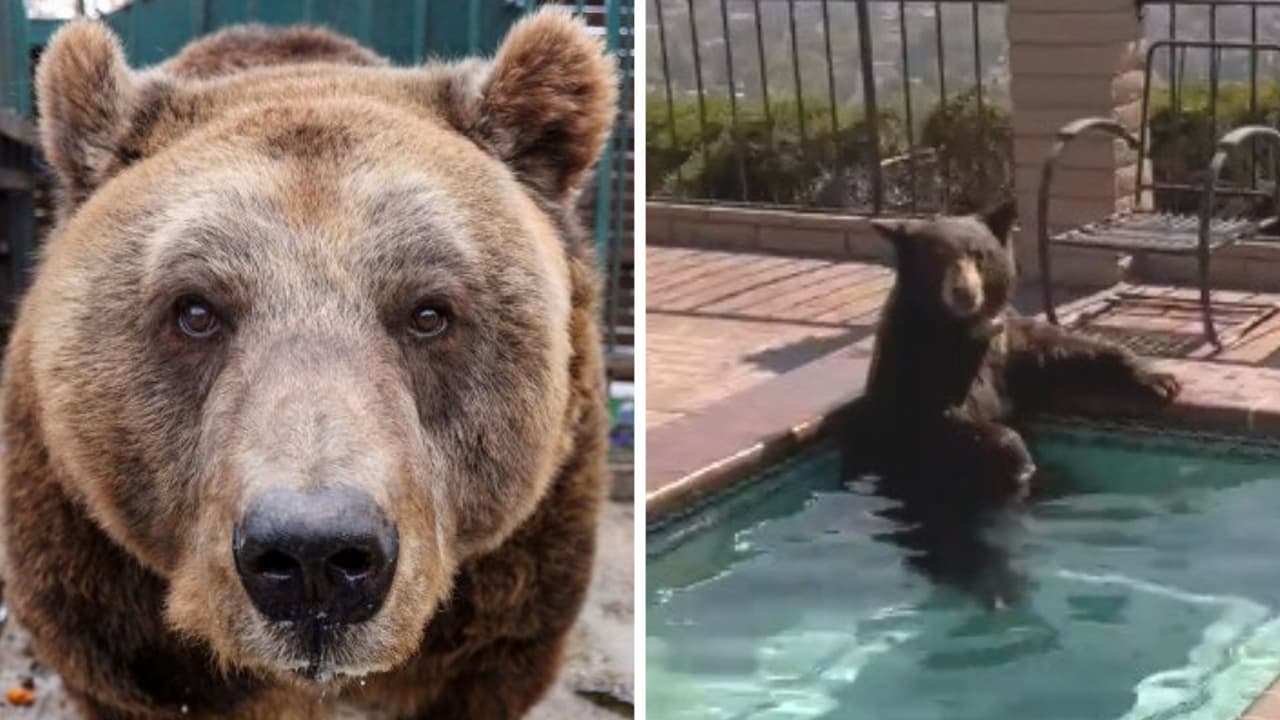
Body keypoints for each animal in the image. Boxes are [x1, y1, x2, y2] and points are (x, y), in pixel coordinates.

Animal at [841, 201, 1180, 605]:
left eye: (979, 254)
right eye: (936, 258)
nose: (963, 292)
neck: (961, 333)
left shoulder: (1007, 347)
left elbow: (1063, 351)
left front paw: (1159, 380)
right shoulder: (916, 369)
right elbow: (938, 423)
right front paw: (1017, 456)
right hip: (922, 496)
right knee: (957, 545)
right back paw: (1000, 585)